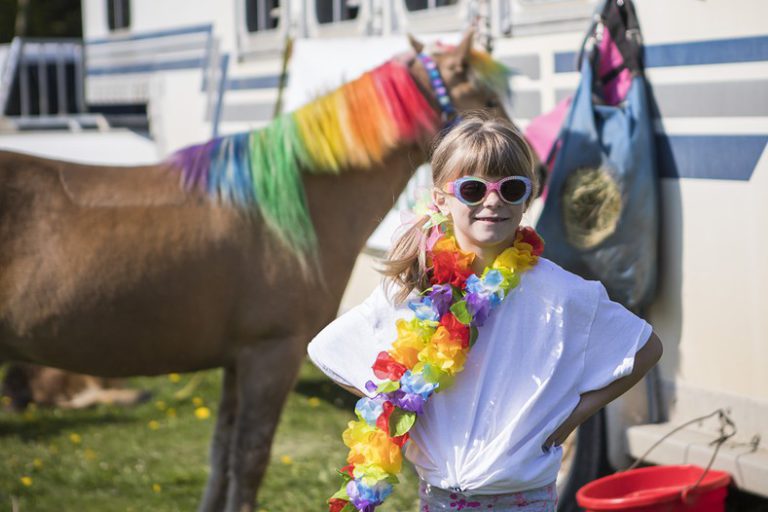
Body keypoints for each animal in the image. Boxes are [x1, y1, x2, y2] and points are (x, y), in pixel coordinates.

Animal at [1, 33, 516, 512]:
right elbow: (250, 458)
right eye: (486, 101)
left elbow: (221, 455)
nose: (528, 173)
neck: (290, 209)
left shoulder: (236, 360)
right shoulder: (272, 354)